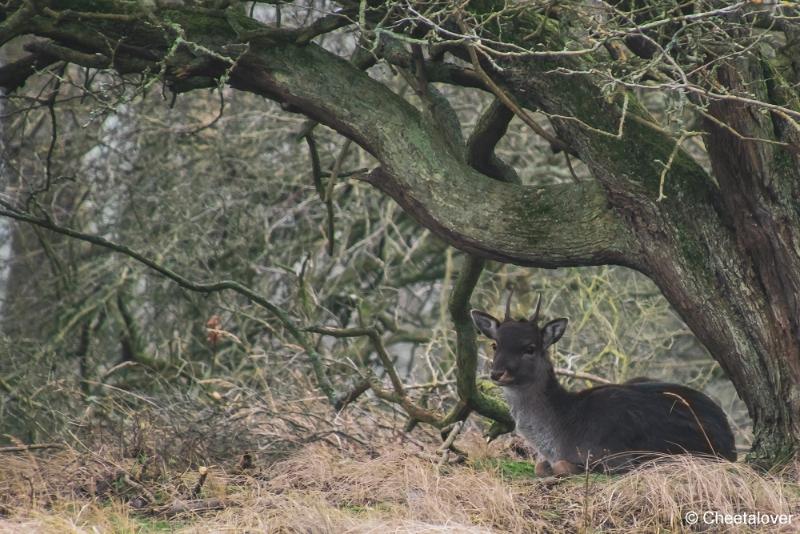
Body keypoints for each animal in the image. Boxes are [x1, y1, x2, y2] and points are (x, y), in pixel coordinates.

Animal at [468, 298, 736, 478]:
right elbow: (539, 466)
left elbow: (562, 466)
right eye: (495, 344)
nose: (497, 373)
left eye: (530, 348)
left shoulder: (615, 456)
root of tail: (730, 438)